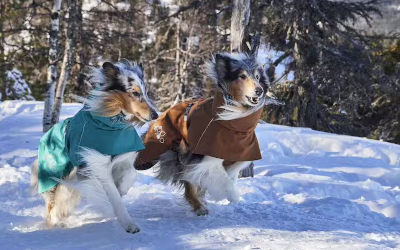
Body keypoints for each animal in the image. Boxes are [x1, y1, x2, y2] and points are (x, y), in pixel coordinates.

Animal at [30, 59, 158, 233]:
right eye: (135, 93)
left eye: (144, 92)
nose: (155, 115)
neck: (111, 125)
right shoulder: (98, 164)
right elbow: (115, 198)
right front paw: (129, 224)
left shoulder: (122, 158)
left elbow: (130, 176)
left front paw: (121, 190)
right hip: (54, 179)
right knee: (51, 207)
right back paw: (57, 223)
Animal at [134, 52, 268, 215]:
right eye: (242, 76)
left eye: (257, 77)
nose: (260, 90)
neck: (234, 125)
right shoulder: (206, 160)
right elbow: (226, 182)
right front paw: (232, 197)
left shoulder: (233, 160)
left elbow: (230, 178)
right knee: (188, 183)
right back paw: (200, 207)